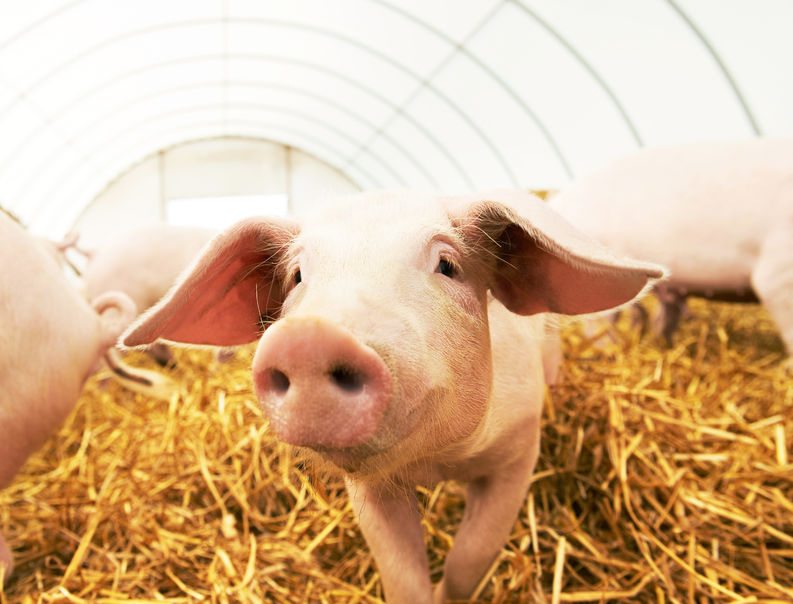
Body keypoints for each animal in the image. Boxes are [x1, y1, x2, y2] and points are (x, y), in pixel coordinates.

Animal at [122, 190, 664, 602]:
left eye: (447, 264)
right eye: (297, 276)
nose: (309, 338)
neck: (438, 463)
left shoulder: (518, 448)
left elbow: (471, 557)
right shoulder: (369, 487)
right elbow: (401, 576)